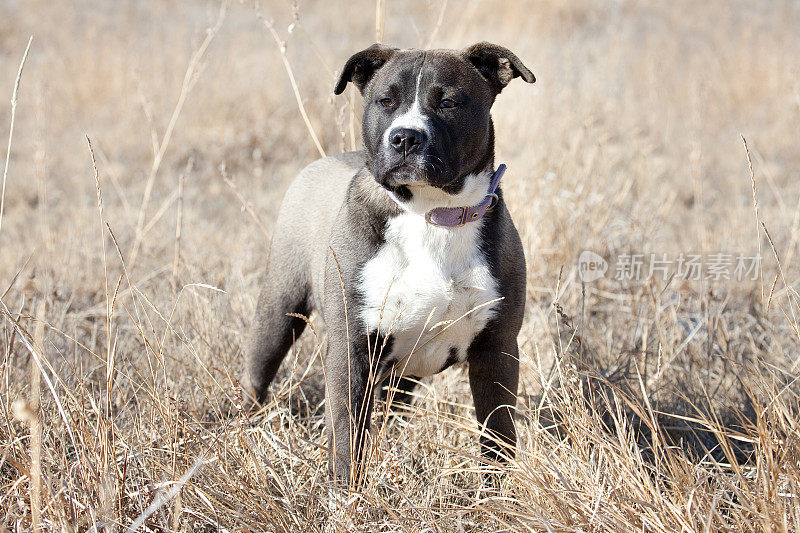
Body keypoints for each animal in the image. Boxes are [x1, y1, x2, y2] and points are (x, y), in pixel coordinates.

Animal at [248, 41, 536, 482]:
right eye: (385, 101)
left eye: (448, 102)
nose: (404, 138)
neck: (430, 212)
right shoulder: (352, 348)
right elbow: (347, 432)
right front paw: (345, 491)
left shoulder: (498, 349)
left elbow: (498, 436)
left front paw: (497, 492)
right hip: (279, 311)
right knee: (258, 372)